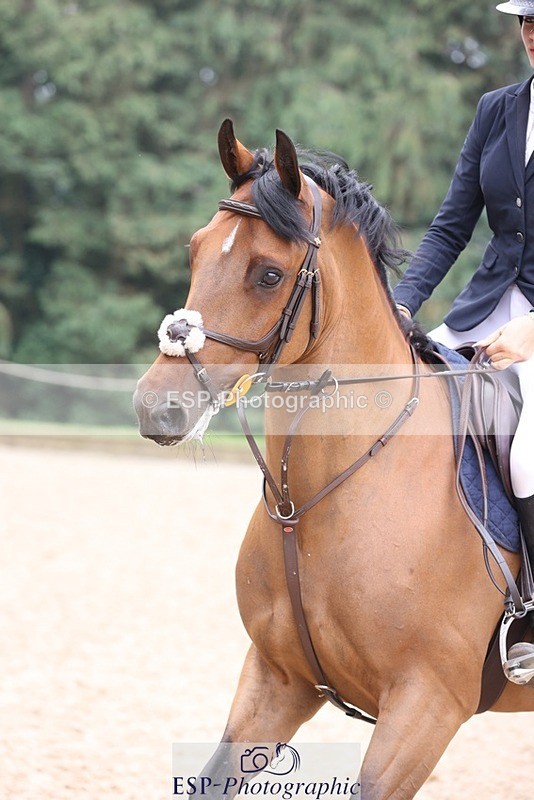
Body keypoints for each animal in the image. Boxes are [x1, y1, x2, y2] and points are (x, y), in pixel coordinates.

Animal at [133, 121, 534, 799]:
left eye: (268, 275)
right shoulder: (279, 677)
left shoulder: (427, 706)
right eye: (195, 250)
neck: (317, 502)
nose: (156, 406)